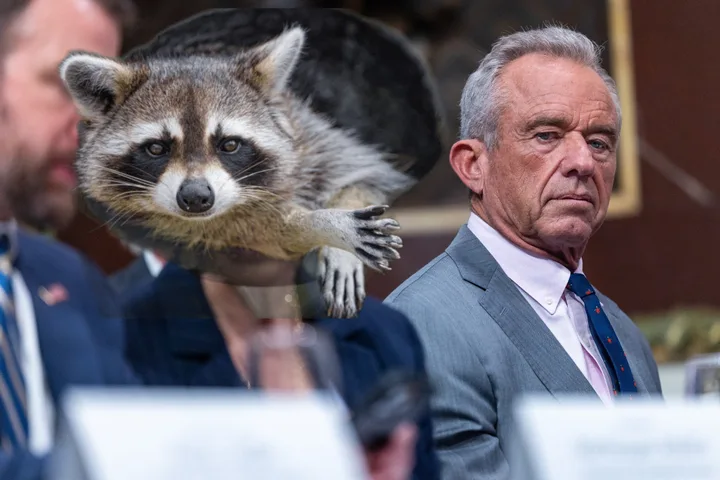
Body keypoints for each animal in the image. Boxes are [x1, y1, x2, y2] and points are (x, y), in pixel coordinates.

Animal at [59, 27, 416, 318]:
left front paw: (338, 237)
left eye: (229, 144)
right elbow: (254, 235)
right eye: (157, 148)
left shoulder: (311, 140)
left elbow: (364, 176)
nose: (196, 197)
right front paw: (320, 224)